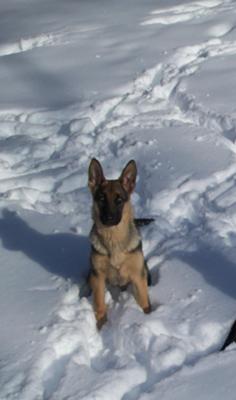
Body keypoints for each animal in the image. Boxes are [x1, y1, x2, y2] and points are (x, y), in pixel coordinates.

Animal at [87, 158, 150, 330]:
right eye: (101, 199)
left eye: (119, 200)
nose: (109, 218)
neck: (113, 240)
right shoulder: (98, 277)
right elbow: (99, 303)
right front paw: (101, 326)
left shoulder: (138, 275)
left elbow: (144, 300)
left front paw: (148, 317)